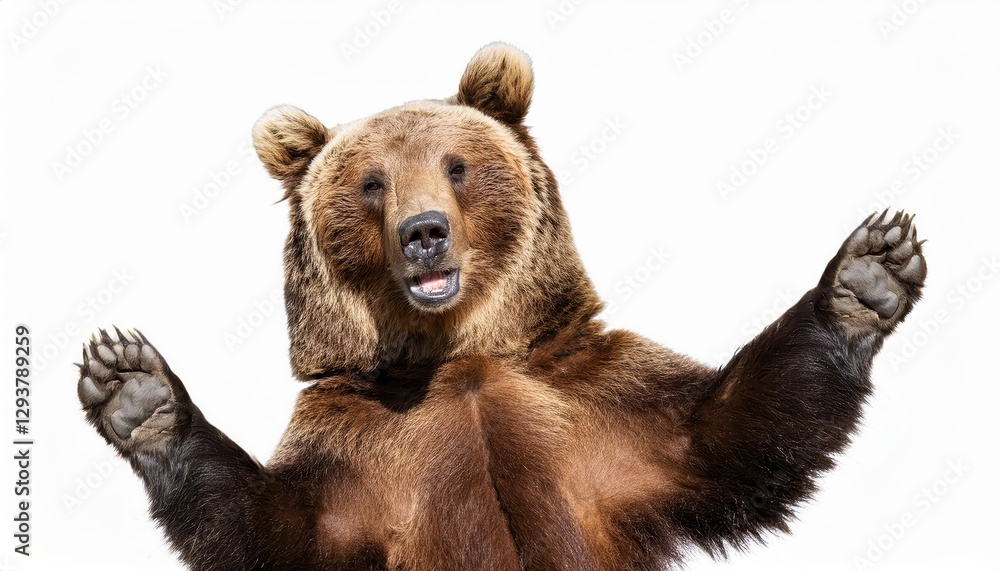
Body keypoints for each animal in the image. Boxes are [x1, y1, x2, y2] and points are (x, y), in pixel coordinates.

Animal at [76, 43, 926, 570]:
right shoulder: (359, 441)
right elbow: (279, 528)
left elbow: (731, 436)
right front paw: (136, 390)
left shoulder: (596, 402)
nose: (424, 232)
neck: (457, 354)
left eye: (457, 165)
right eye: (372, 183)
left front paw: (866, 275)